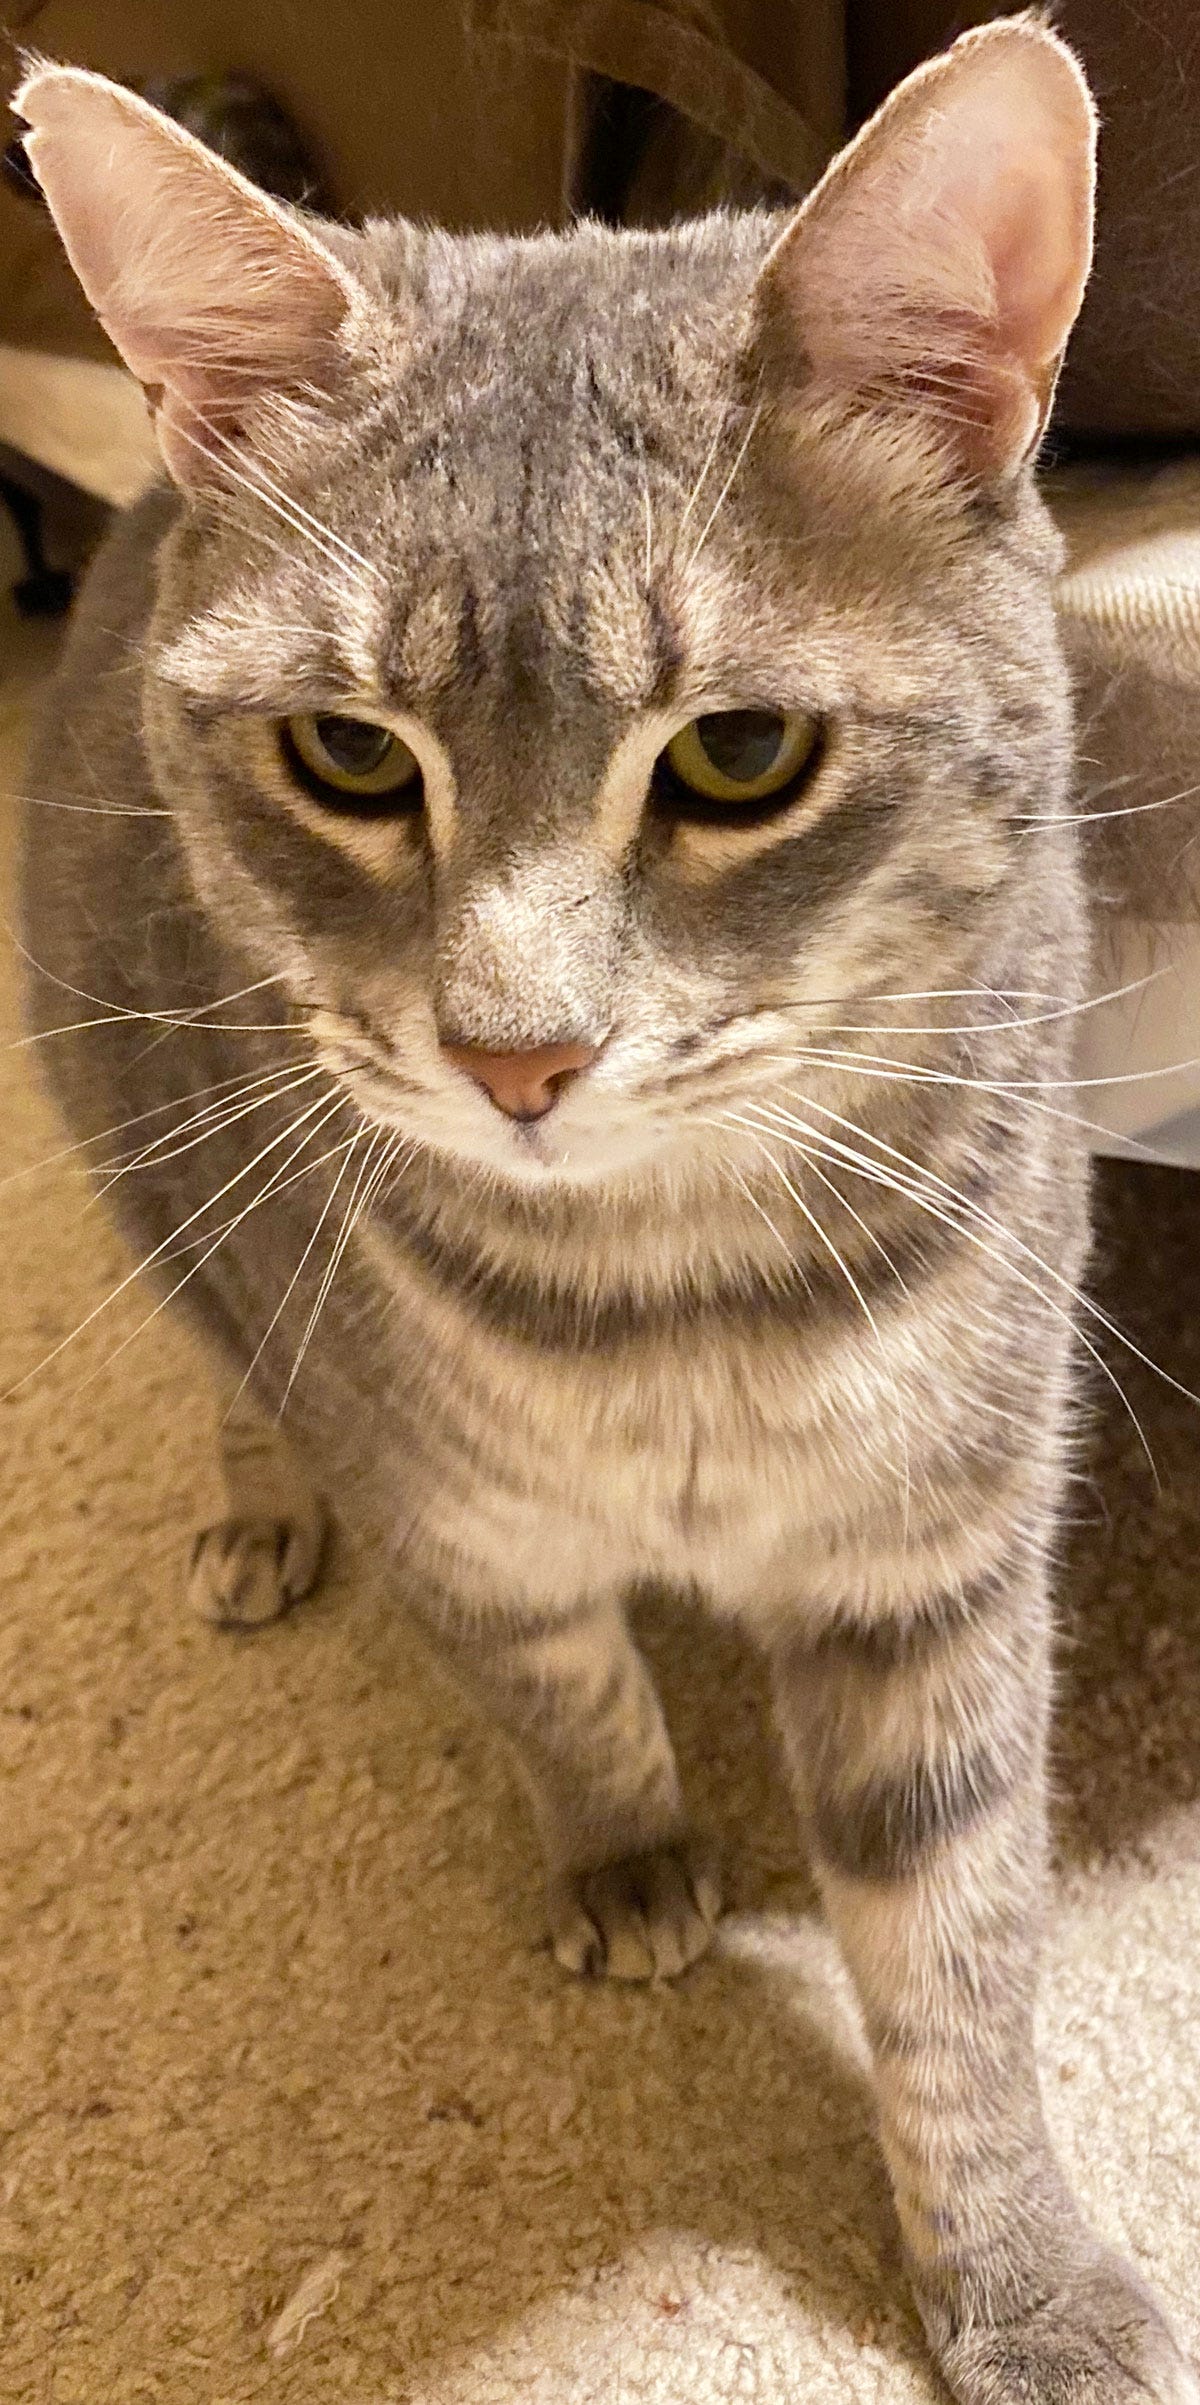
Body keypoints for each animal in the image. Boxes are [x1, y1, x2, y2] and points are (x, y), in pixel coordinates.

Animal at [13, 21, 1198, 2401]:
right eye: (349, 756)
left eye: (739, 756)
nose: (516, 1059)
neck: (677, 1304)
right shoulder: (465, 1526)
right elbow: (568, 1694)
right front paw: (636, 1851)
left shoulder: (940, 1566)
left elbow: (957, 1954)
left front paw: (1021, 2268)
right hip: (166, 1203)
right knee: (234, 1375)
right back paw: (256, 1516)